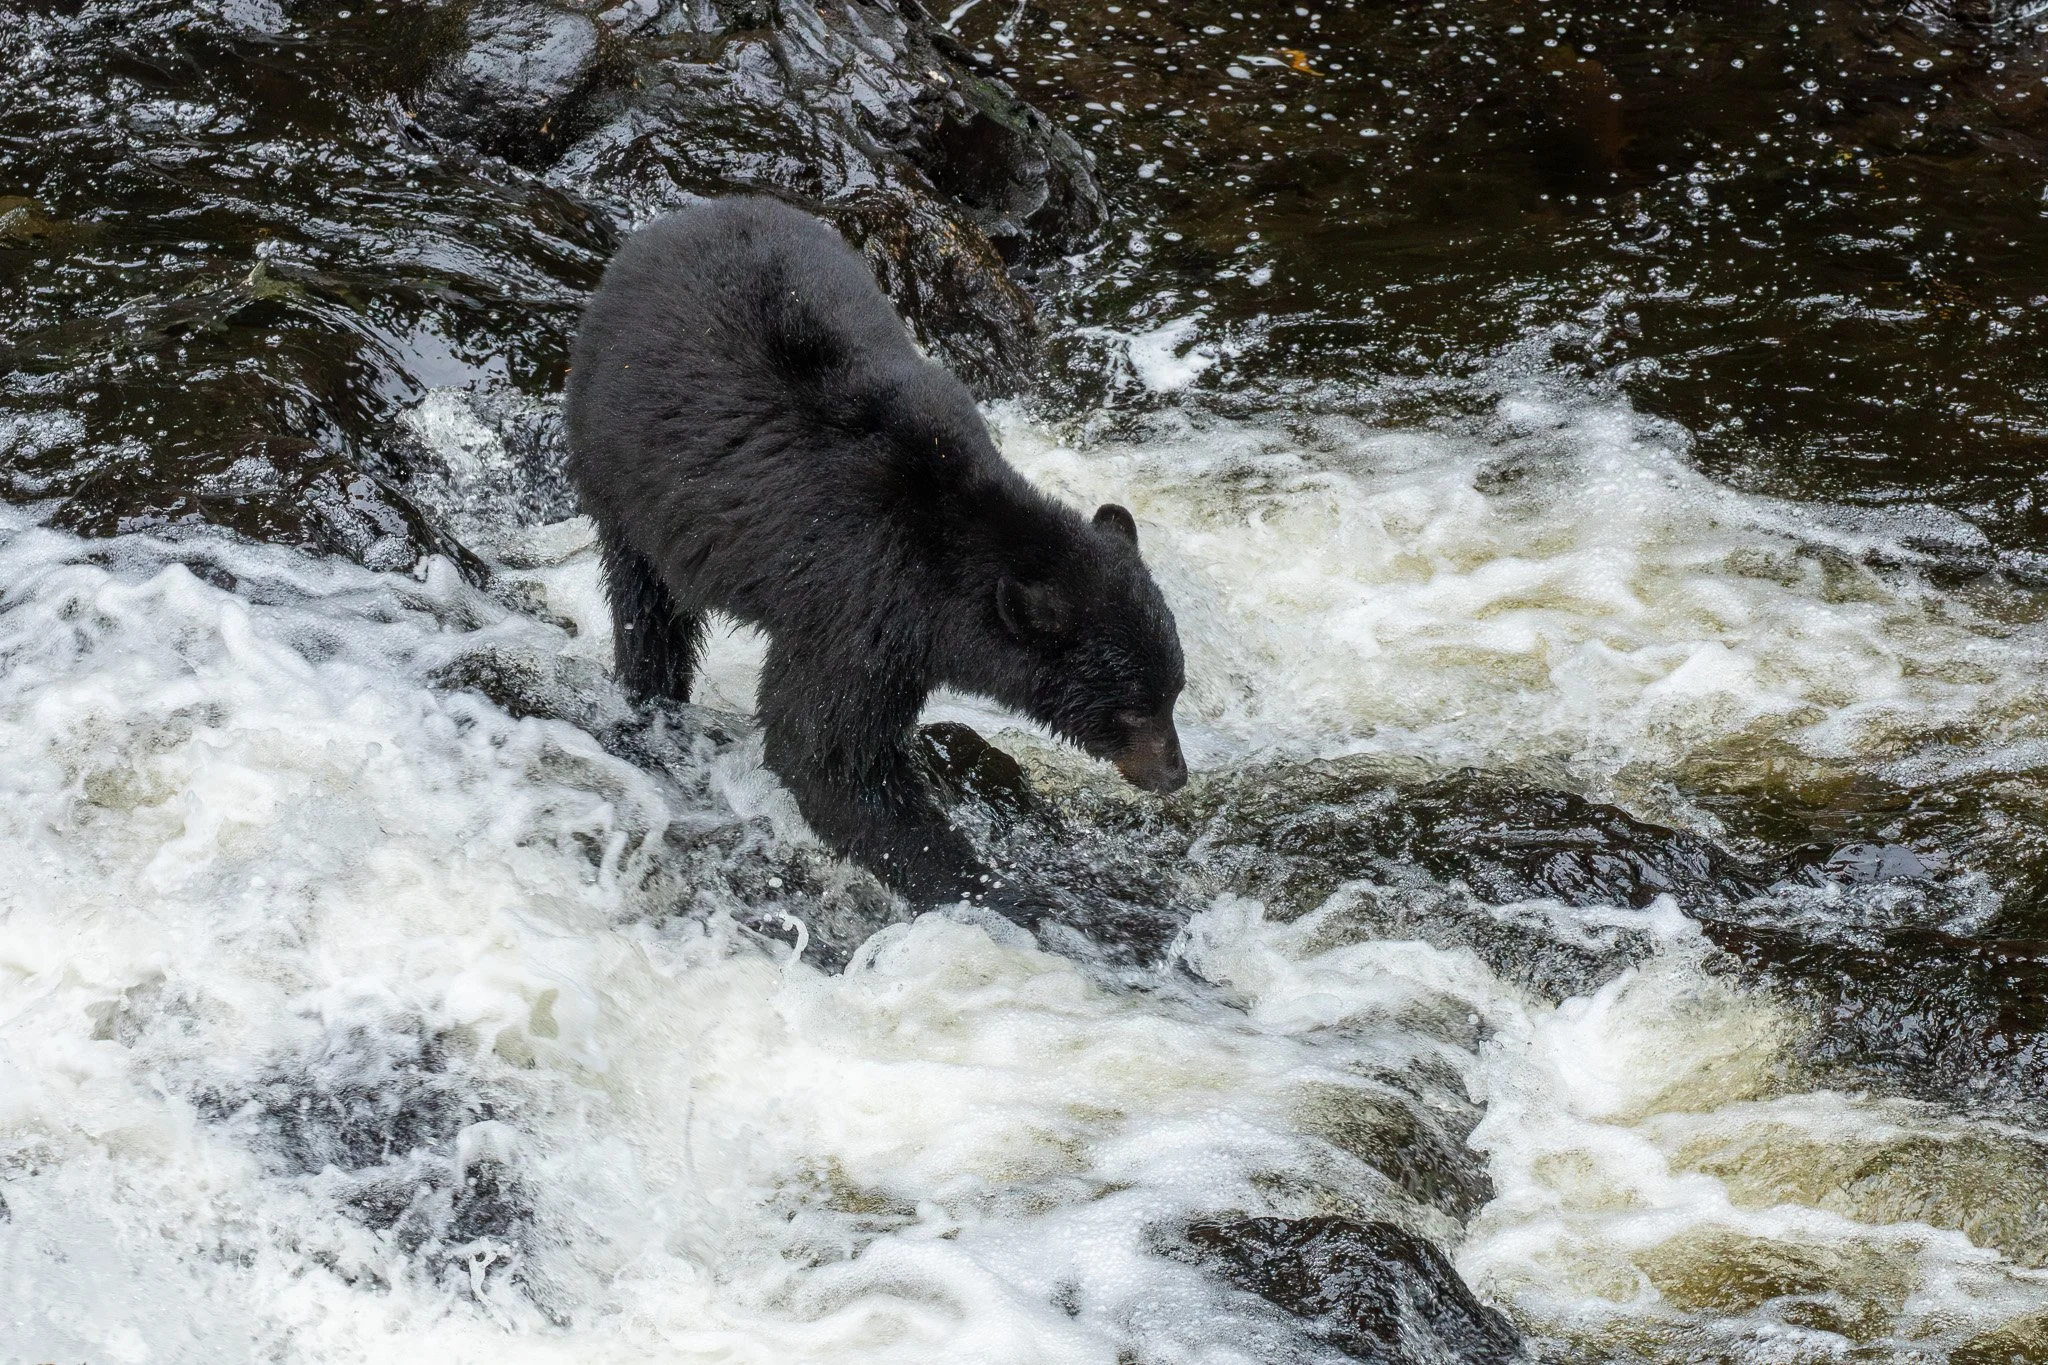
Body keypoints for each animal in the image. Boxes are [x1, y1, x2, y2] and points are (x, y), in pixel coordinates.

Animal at [563, 196, 1187, 912]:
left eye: (1176, 692)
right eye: (1133, 709)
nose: (1176, 774)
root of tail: (665, 226)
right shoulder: (856, 606)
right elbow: (822, 749)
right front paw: (985, 887)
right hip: (621, 474)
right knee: (647, 607)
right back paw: (650, 694)